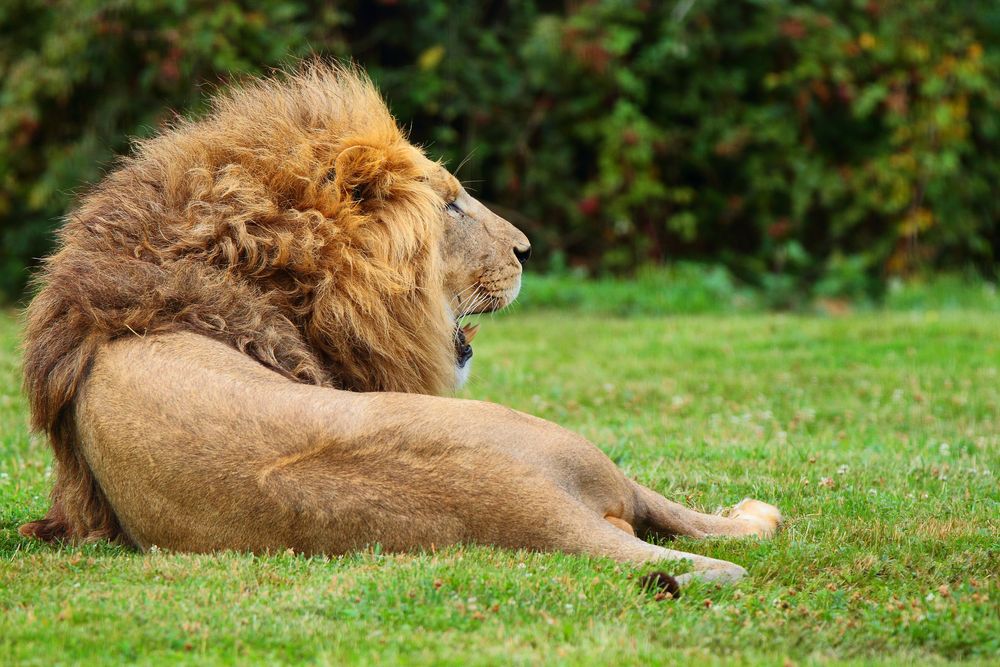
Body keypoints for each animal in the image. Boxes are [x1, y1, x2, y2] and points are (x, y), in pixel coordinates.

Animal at [17, 65, 780, 592]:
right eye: (453, 205)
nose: (527, 249)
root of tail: (534, 511)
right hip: (576, 448)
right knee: (697, 521)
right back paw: (758, 514)